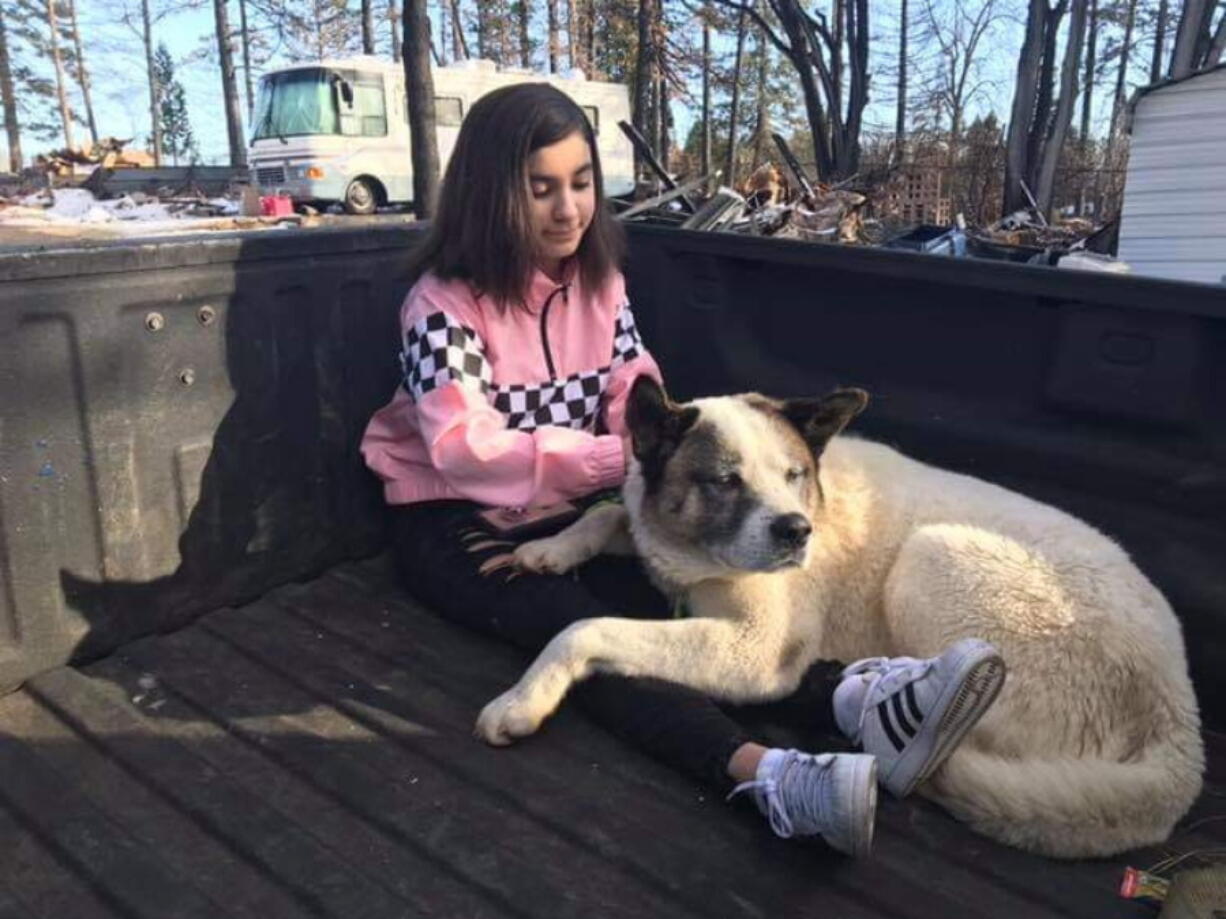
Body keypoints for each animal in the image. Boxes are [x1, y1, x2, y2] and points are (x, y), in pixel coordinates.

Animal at [473, 377, 1201, 862]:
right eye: (726, 481)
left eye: (795, 474)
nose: (797, 531)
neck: (694, 557)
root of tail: (1179, 718)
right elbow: (605, 516)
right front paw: (549, 548)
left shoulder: (754, 650)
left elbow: (584, 627)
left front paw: (523, 699)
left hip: (928, 558)